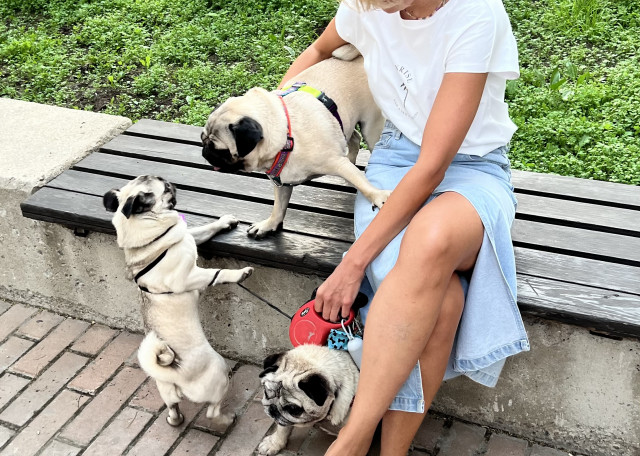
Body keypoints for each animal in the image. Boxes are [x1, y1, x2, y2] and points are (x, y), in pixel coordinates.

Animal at [103, 175, 253, 427]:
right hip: (220, 371)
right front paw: (238, 274)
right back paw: (227, 418)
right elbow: (216, 273)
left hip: (165, 390)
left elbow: (204, 229)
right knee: (212, 411)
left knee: (172, 408)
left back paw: (175, 419)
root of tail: (175, 373)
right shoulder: (187, 276)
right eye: (165, 188)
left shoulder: (189, 236)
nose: (170, 182)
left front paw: (224, 222)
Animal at [201, 44, 389, 239]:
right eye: (203, 138)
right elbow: (278, 207)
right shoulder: (282, 183)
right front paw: (269, 224)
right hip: (345, 123)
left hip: (371, 126)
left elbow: (364, 185)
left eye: (220, 150)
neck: (287, 136)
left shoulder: (336, 163)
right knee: (354, 139)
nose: (205, 151)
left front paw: (378, 195)